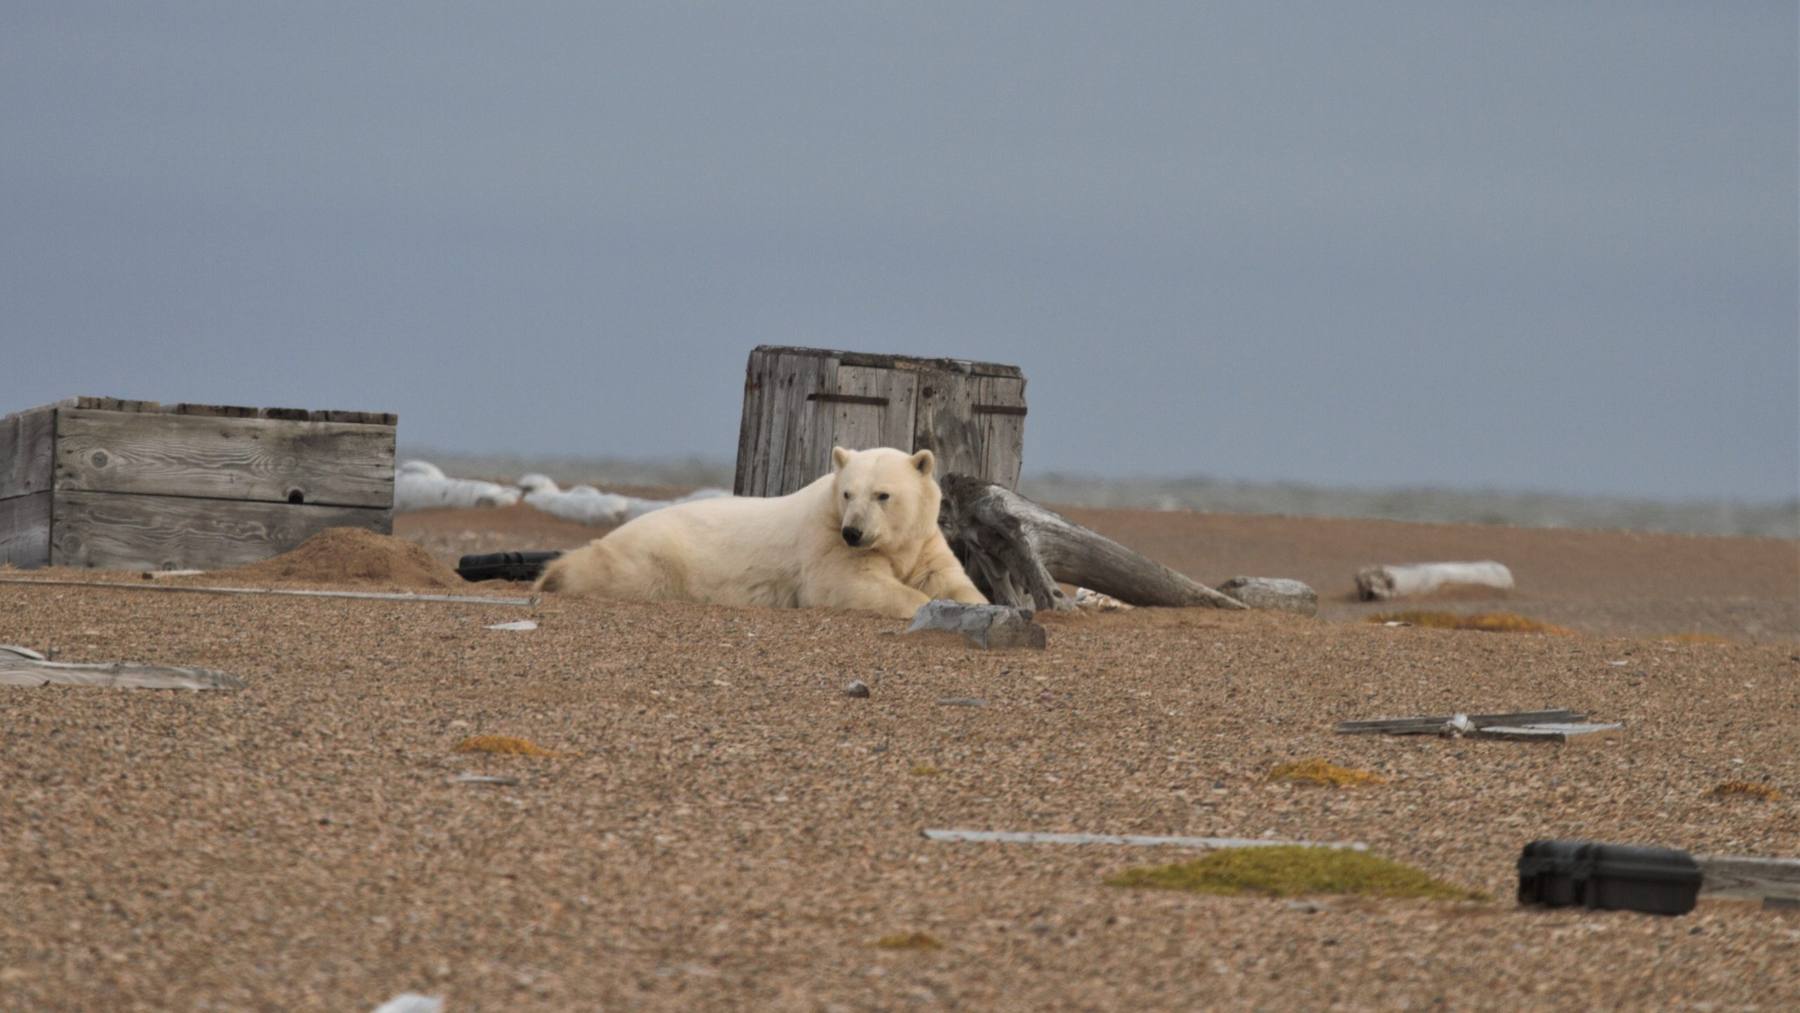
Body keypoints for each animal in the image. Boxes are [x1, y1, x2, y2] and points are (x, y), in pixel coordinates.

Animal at [534, 446, 988, 619]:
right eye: (847, 493)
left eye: (883, 494)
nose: (854, 532)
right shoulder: (823, 541)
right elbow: (850, 584)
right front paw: (921, 605)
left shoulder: (924, 541)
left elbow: (950, 579)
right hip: (653, 558)